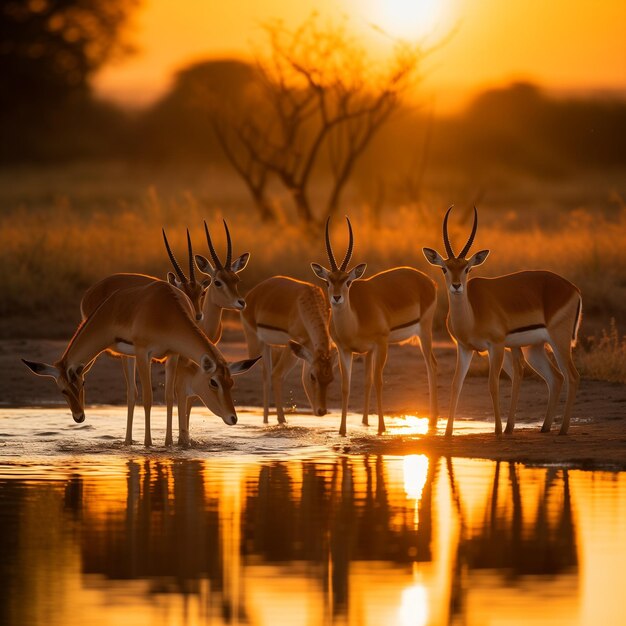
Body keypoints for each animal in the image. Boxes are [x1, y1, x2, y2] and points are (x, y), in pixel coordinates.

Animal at [22, 278, 256, 444]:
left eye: (231, 382)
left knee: (130, 394)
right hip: (122, 353)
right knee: (132, 394)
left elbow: (169, 397)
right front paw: (148, 445)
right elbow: (148, 399)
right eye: (213, 382)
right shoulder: (145, 353)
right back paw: (128, 442)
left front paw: (169, 444)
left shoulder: (172, 354)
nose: (233, 418)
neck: (166, 310)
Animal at [241, 276, 334, 422]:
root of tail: (252, 294)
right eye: (313, 377)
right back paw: (265, 422)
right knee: (267, 377)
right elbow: (277, 375)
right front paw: (282, 421)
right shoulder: (292, 344)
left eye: (331, 378)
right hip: (256, 346)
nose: (321, 411)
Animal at [310, 217, 436, 436]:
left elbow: (378, 381)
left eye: (348, 281)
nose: (337, 298)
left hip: (424, 333)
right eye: (327, 281)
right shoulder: (345, 350)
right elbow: (347, 385)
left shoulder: (381, 343)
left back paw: (433, 422)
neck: (355, 321)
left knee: (431, 367)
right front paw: (342, 431)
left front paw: (381, 429)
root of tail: (428, 281)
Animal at [422, 205, 576, 434]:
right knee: (555, 378)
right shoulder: (464, 348)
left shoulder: (495, 346)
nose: (457, 286)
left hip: (559, 341)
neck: (472, 315)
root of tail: (572, 288)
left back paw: (562, 430)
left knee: (572, 376)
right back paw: (544, 428)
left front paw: (496, 429)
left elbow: (493, 385)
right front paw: (448, 433)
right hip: (534, 348)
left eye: (467, 268)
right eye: (444, 268)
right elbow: (456, 384)